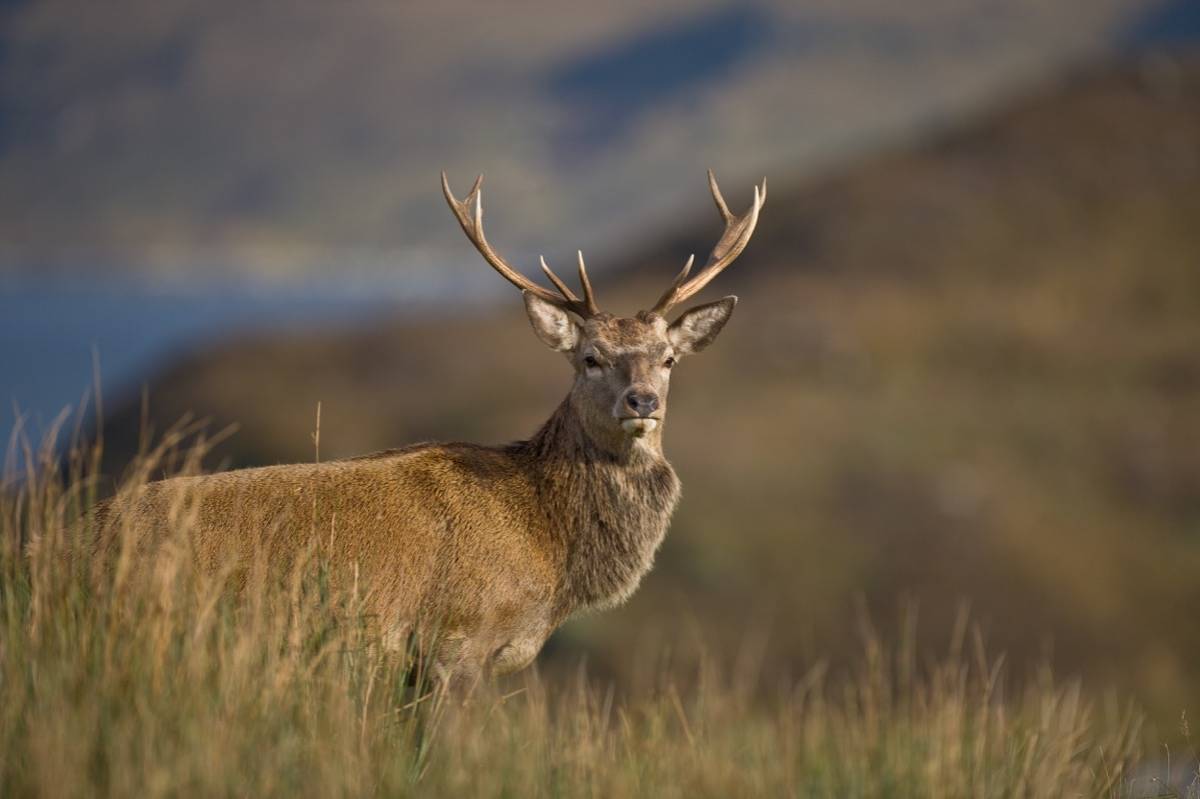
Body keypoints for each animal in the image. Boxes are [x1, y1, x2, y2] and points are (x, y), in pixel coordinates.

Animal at [96, 170, 765, 685]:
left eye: (669, 358)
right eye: (590, 358)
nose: (642, 400)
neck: (549, 556)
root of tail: (79, 535)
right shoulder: (455, 638)